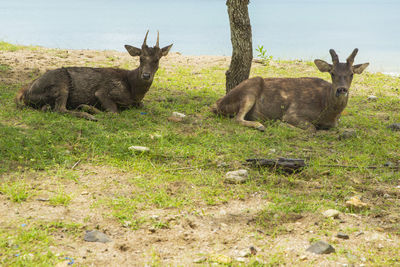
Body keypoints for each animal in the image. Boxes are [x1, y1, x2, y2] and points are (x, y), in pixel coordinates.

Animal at [16, 30, 172, 121]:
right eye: (141, 58)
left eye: (157, 59)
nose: (146, 75)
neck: (133, 90)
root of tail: (26, 92)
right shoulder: (104, 91)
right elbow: (113, 112)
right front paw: (89, 108)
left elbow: (144, 106)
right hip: (60, 84)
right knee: (60, 109)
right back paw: (88, 114)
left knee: (49, 109)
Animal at [212, 48, 368, 132]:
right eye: (332, 73)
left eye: (351, 74)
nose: (341, 90)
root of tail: (217, 104)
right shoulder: (293, 112)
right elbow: (311, 128)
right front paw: (280, 123)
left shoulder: (335, 123)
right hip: (250, 89)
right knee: (237, 118)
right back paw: (260, 125)